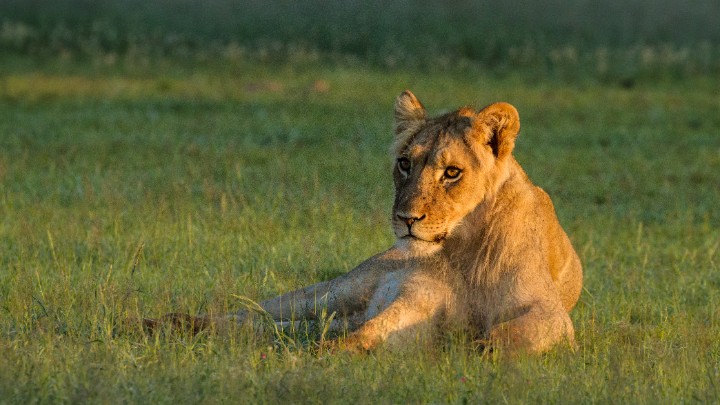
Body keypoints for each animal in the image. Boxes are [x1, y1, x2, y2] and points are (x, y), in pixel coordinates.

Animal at [147, 91, 583, 355]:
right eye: (405, 163)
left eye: (452, 173)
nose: (406, 219)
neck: (466, 249)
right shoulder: (418, 298)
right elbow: (376, 329)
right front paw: (331, 355)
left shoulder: (550, 314)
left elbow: (511, 333)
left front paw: (474, 350)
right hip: (336, 291)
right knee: (255, 313)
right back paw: (167, 323)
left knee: (284, 327)